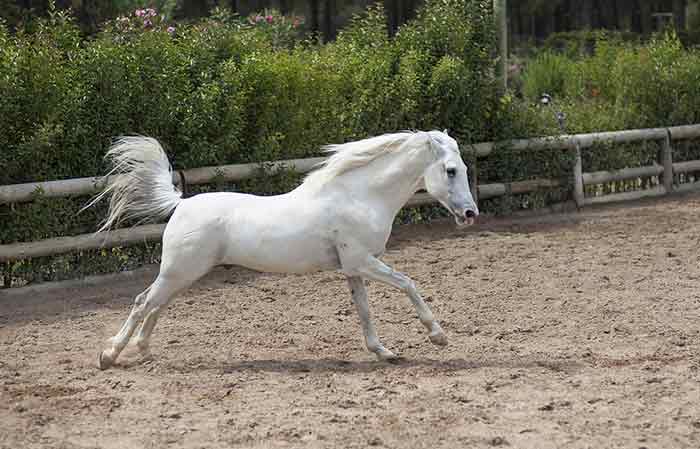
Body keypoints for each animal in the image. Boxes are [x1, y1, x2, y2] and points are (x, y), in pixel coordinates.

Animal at [88, 130, 479, 369]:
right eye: (450, 170)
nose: (470, 214)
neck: (359, 197)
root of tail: (180, 204)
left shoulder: (353, 269)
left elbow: (365, 311)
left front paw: (384, 352)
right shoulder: (363, 262)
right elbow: (409, 284)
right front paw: (438, 337)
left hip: (183, 274)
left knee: (156, 304)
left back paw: (143, 350)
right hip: (180, 271)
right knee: (143, 302)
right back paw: (109, 355)